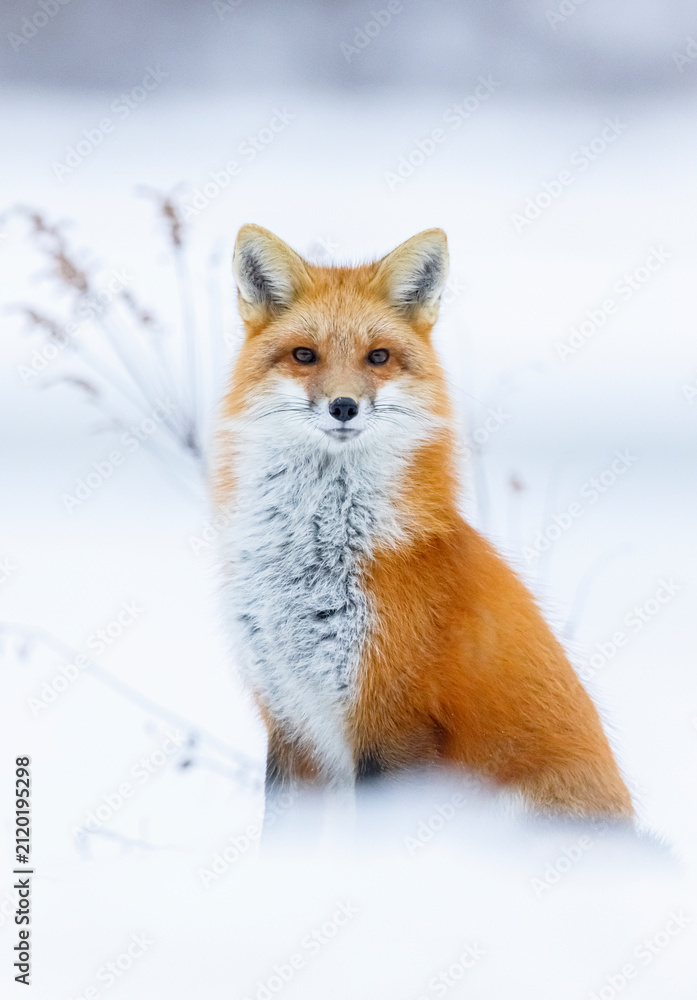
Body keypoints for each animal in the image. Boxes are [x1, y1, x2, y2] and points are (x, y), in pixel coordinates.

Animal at [212, 223, 634, 823]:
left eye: (378, 357)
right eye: (304, 355)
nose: (344, 406)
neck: (315, 561)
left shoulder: (392, 724)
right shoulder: (290, 720)